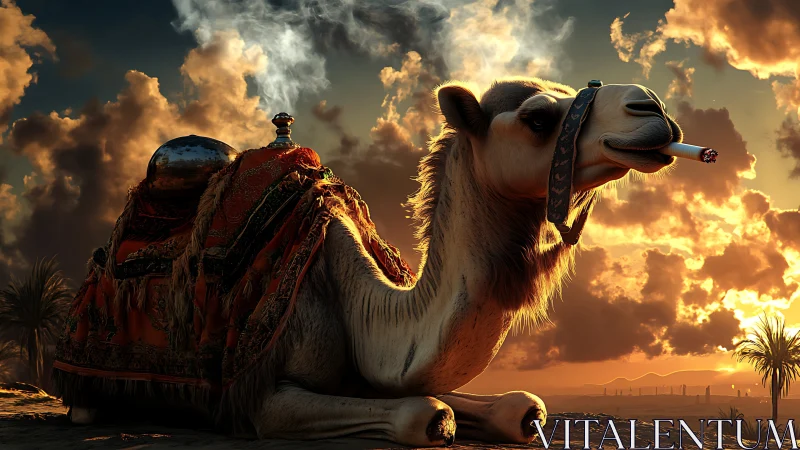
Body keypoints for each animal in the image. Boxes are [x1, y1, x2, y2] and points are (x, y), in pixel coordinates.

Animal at [58, 77, 682, 447]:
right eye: (537, 119)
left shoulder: (373, 375)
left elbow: (519, 407)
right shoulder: (261, 396)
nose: (651, 108)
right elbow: (424, 415)